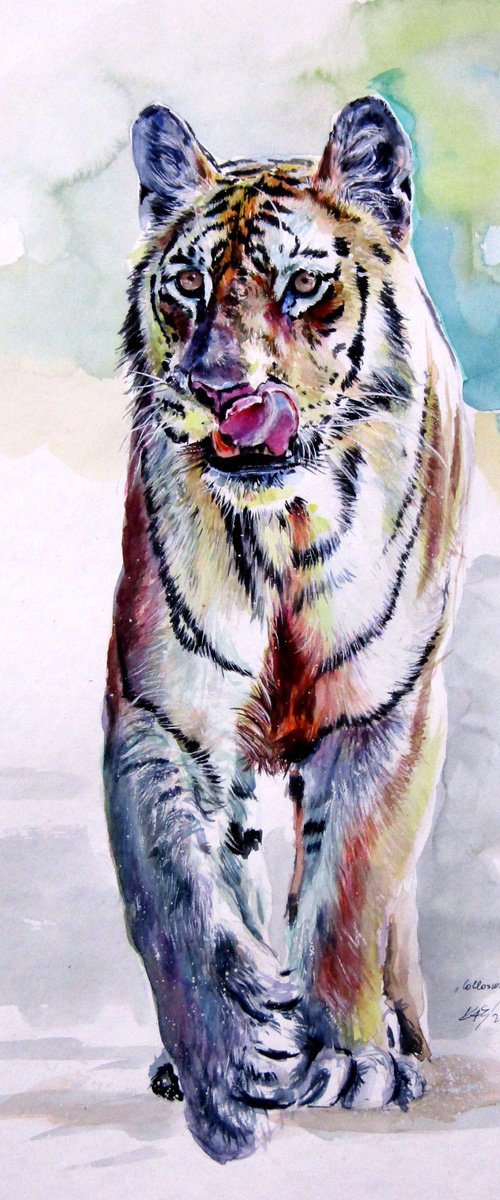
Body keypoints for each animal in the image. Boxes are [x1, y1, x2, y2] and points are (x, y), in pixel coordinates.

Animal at [103, 96, 472, 1162]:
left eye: (302, 285)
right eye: (188, 286)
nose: (219, 388)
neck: (285, 532)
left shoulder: (389, 713)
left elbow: (349, 890)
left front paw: (347, 1057)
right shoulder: (164, 715)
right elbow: (178, 895)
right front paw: (229, 1064)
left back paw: (399, 1036)